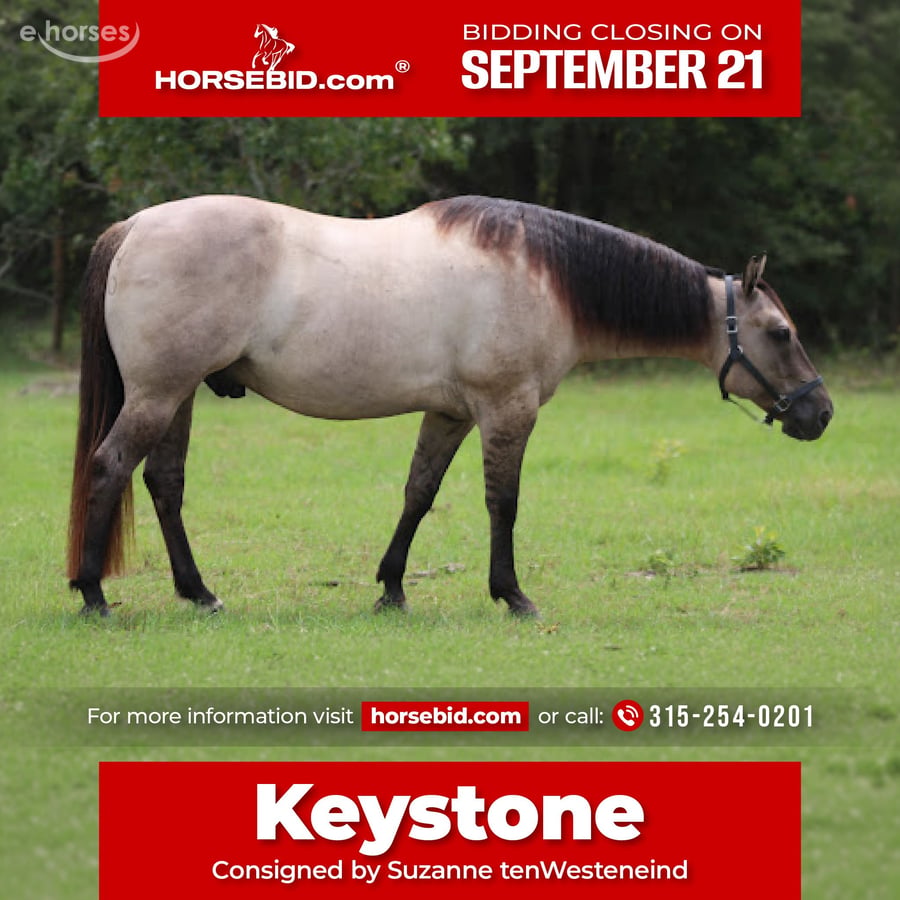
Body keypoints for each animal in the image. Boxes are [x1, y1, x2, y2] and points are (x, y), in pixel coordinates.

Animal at [67, 195, 833, 618]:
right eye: (780, 333)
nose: (820, 413)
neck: (543, 275)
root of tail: (134, 227)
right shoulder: (506, 411)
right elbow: (503, 503)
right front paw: (513, 595)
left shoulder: (452, 413)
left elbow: (419, 493)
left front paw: (391, 589)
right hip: (160, 394)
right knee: (109, 468)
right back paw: (93, 594)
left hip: (177, 396)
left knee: (164, 484)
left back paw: (199, 593)